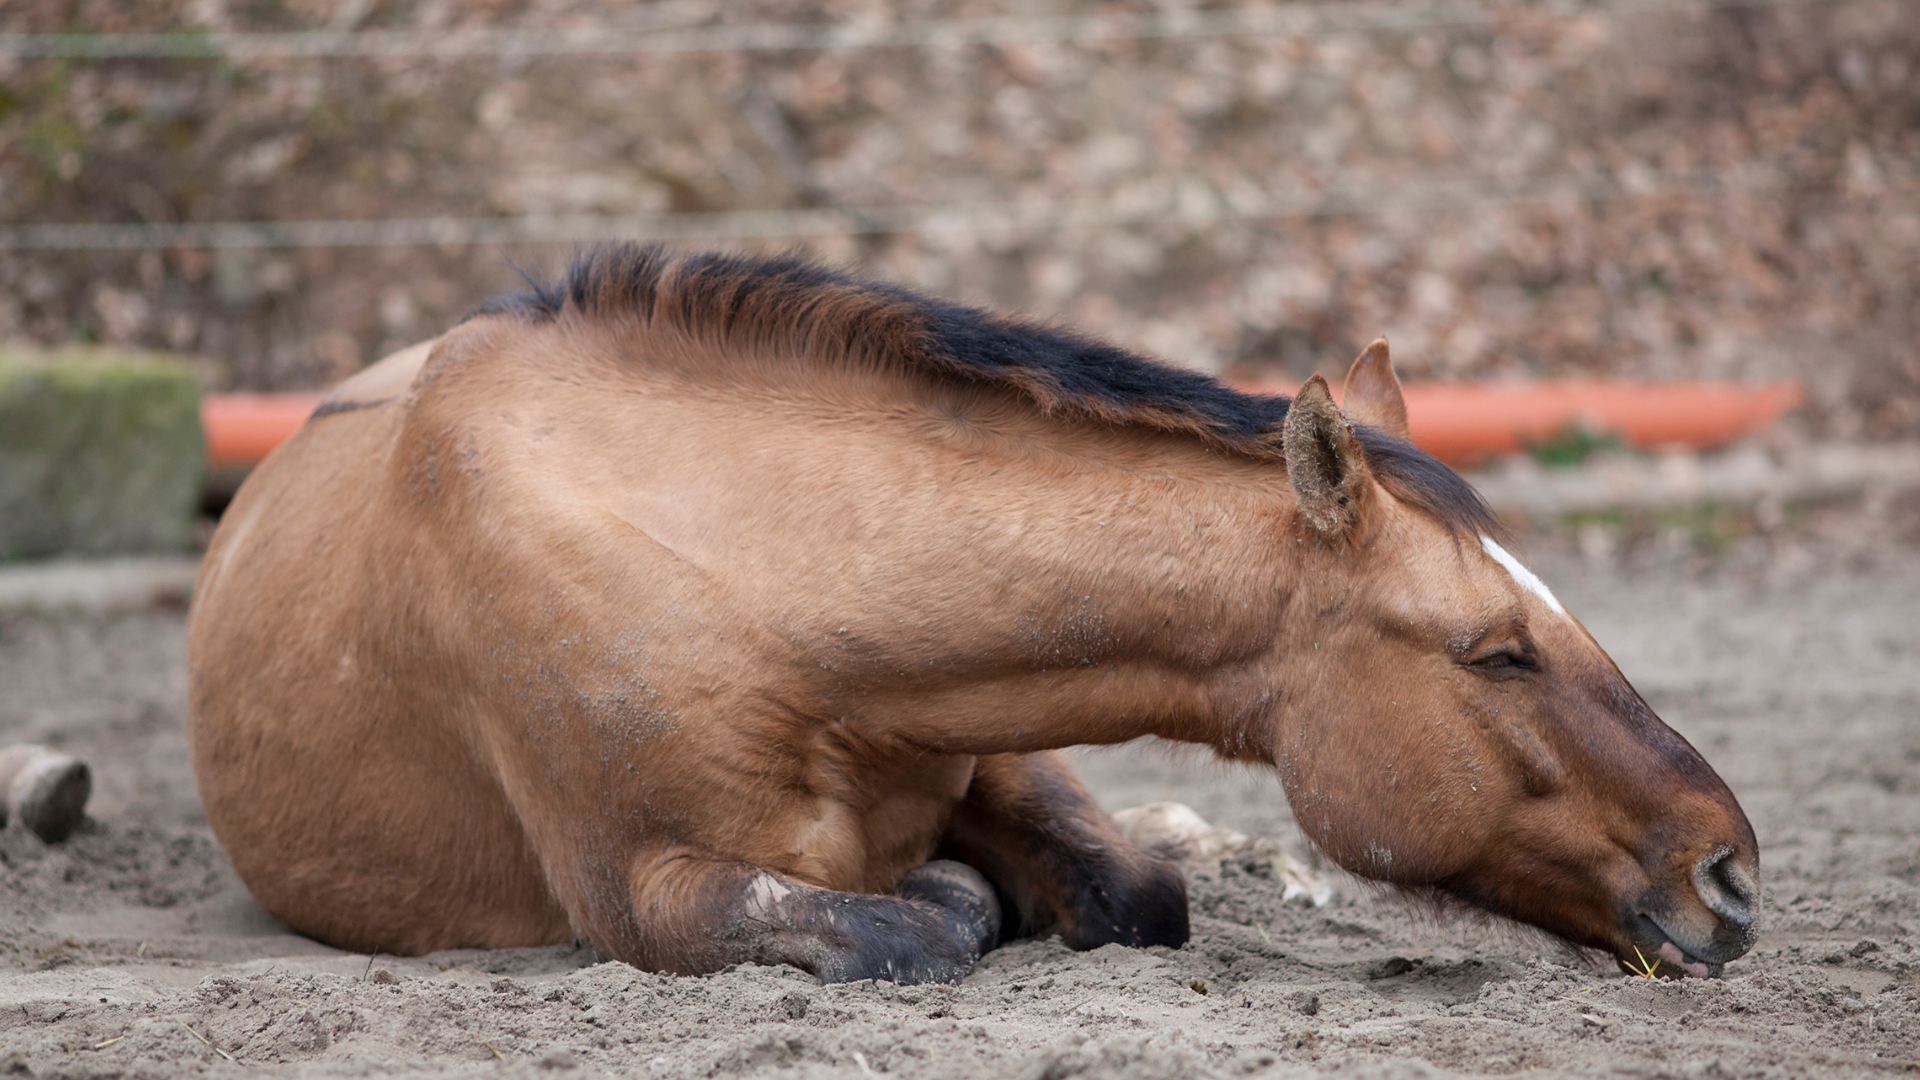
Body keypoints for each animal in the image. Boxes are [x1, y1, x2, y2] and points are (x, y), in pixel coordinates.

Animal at [187, 244, 1759, 984]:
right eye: (1497, 652)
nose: (1732, 874)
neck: (752, 577)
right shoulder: (644, 893)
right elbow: (915, 924)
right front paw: (956, 899)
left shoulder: (1000, 733)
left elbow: (1136, 891)